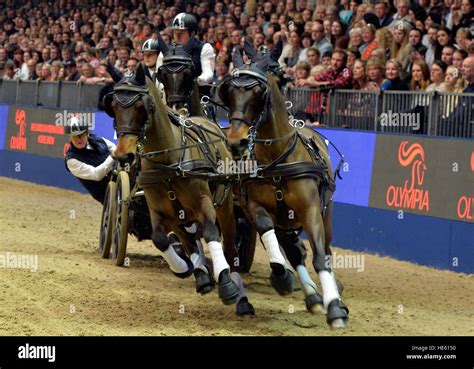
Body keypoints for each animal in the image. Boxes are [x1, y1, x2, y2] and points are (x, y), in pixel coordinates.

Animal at [102, 64, 254, 314]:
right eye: (113, 107)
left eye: (142, 107)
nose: (123, 155)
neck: (169, 161)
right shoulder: (160, 210)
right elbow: (160, 239)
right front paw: (183, 268)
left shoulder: (204, 203)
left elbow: (211, 233)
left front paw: (226, 285)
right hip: (181, 215)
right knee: (189, 240)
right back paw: (201, 276)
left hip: (224, 207)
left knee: (229, 247)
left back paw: (238, 293)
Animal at [218, 43, 348, 328]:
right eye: (229, 91)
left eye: (259, 91)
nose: (236, 142)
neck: (277, 158)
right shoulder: (255, 208)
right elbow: (269, 234)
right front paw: (281, 276)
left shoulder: (311, 210)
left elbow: (319, 257)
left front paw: (335, 308)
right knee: (282, 250)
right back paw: (308, 296)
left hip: (325, 215)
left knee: (323, 250)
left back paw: (329, 297)